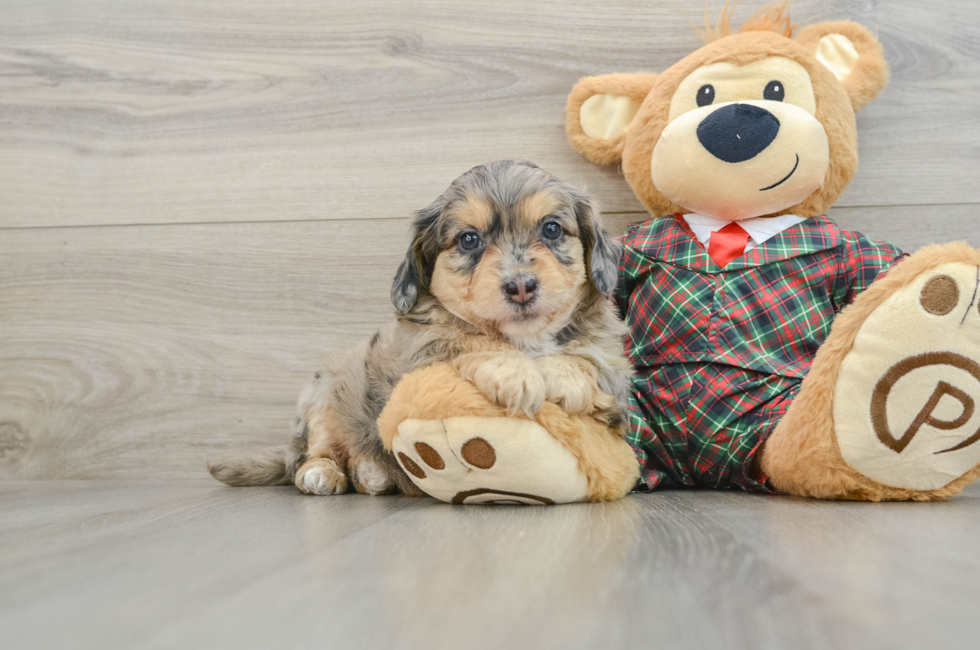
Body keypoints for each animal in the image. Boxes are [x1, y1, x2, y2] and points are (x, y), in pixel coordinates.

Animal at [211, 159, 632, 494]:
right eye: (469, 239)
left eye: (552, 229)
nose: (521, 285)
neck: (524, 339)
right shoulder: (419, 358)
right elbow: (469, 340)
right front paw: (515, 373)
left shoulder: (614, 368)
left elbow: (587, 358)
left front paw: (564, 376)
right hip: (323, 396)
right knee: (314, 453)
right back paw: (325, 474)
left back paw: (371, 474)